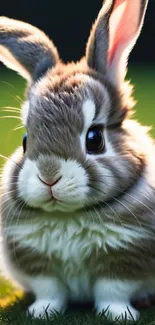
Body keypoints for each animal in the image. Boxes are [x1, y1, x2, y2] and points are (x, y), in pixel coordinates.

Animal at [0, 0, 154, 320]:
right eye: (25, 141)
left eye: (94, 139)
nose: (49, 176)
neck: (68, 215)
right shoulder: (38, 264)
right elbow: (50, 291)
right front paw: (41, 312)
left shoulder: (124, 258)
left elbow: (113, 291)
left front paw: (120, 316)